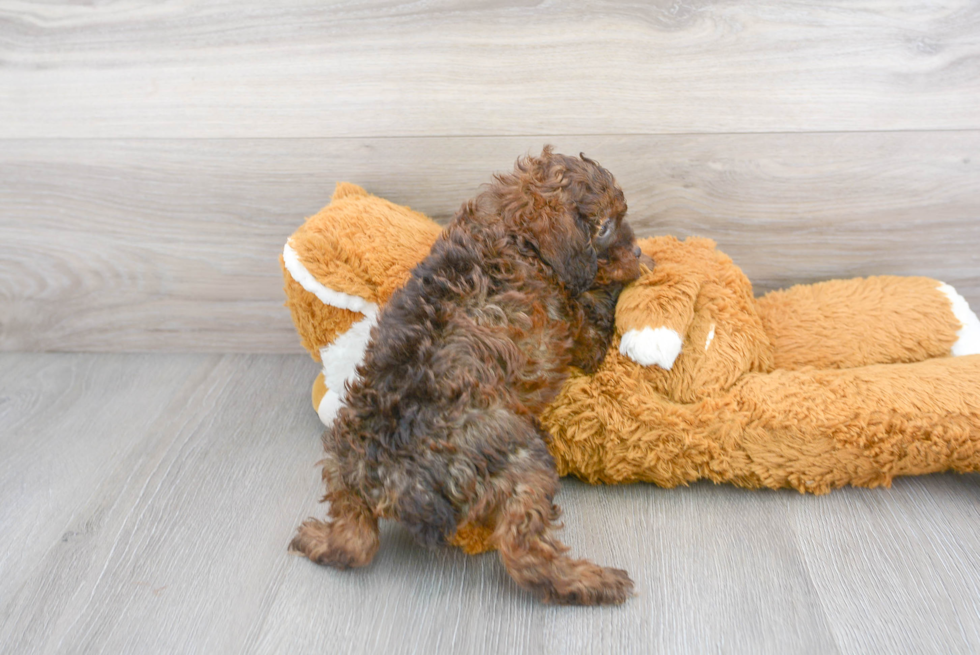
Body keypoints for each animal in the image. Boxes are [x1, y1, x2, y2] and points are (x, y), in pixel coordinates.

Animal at [290, 146, 644, 608]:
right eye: (604, 226)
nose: (640, 252)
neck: (514, 234)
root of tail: (395, 475)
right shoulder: (576, 332)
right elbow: (596, 306)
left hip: (340, 455)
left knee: (355, 539)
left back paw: (318, 539)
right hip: (519, 458)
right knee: (525, 555)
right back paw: (593, 581)